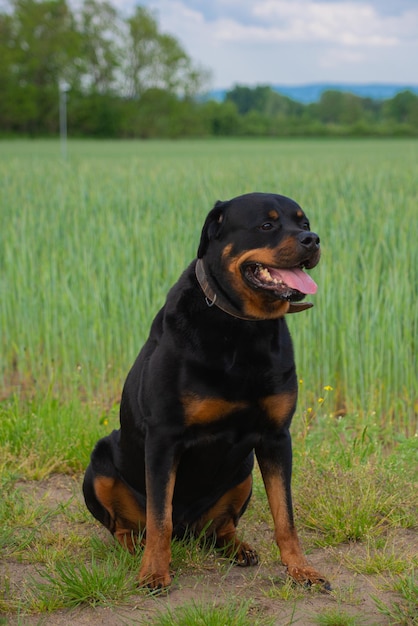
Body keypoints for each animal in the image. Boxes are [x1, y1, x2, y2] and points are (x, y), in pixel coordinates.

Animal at [82, 193, 330, 588]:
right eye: (267, 225)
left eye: (304, 224)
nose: (313, 239)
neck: (244, 328)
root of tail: (190, 531)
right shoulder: (164, 436)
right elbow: (160, 518)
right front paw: (154, 572)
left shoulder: (276, 436)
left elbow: (285, 516)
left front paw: (301, 569)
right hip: (100, 463)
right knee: (128, 526)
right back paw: (134, 549)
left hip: (243, 471)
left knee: (220, 527)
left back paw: (237, 547)